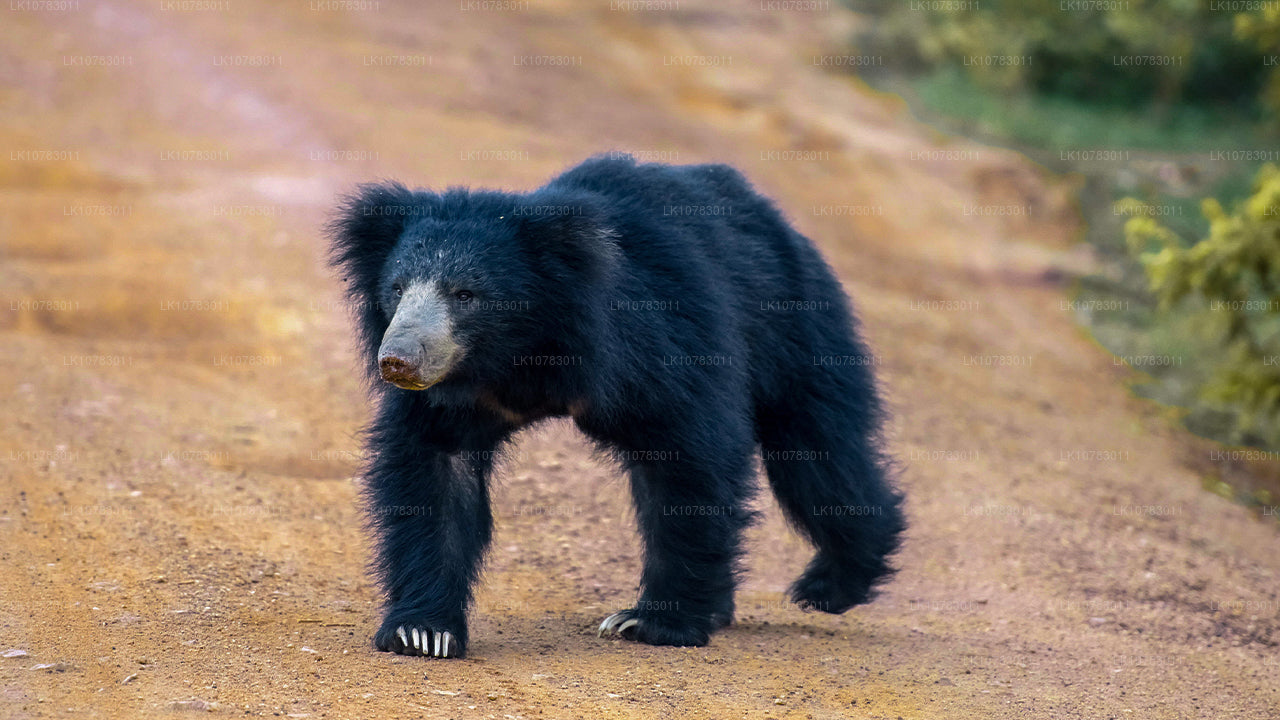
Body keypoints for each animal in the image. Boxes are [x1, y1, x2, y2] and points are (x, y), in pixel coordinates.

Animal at [330, 152, 911, 655]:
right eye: (397, 289)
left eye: (466, 294)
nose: (398, 361)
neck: (520, 355)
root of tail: (775, 220)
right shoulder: (453, 396)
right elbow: (435, 475)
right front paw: (422, 632)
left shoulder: (657, 344)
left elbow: (689, 459)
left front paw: (651, 622)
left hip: (795, 326)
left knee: (818, 456)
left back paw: (829, 586)